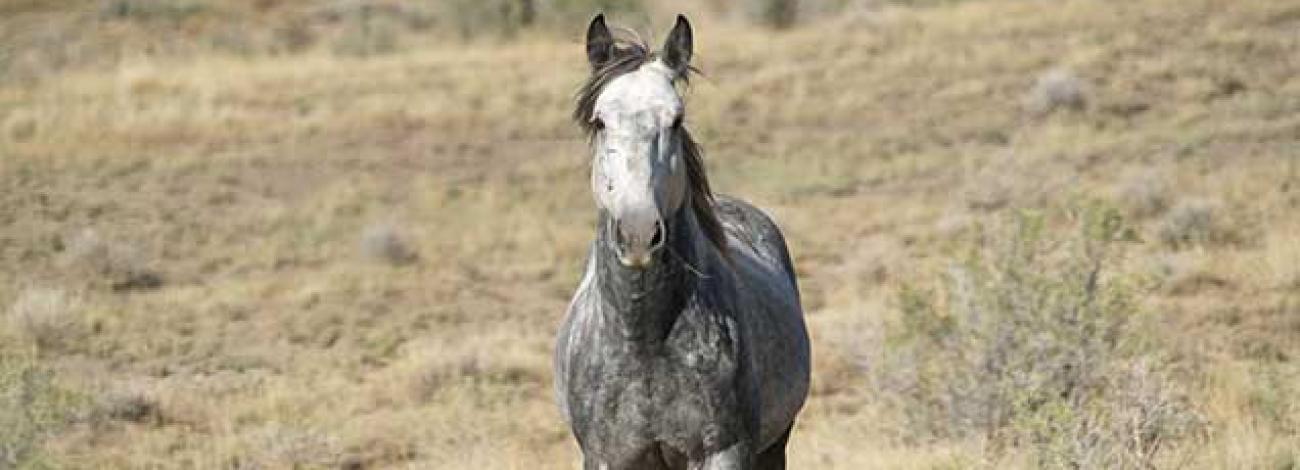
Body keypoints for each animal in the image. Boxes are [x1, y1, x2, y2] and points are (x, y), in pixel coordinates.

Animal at [553, 14, 811, 470]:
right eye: (600, 121)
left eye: (675, 119)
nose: (638, 233)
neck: (644, 341)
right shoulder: (608, 457)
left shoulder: (723, 452)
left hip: (775, 444)